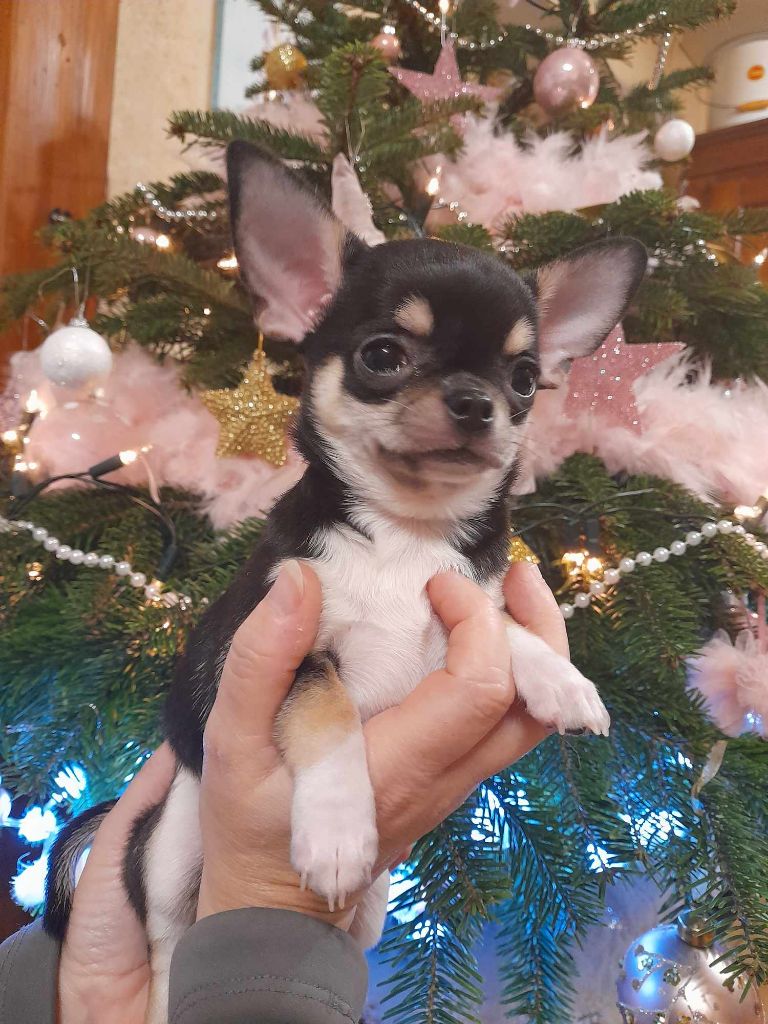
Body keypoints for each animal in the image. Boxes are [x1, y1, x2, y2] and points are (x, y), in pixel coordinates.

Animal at [45, 140, 646, 1022]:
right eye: (383, 356)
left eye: (526, 378)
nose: (477, 402)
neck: (404, 533)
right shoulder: (283, 650)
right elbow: (326, 712)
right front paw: (336, 831)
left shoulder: (461, 600)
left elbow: (499, 621)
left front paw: (560, 678)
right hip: (172, 839)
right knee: (163, 945)